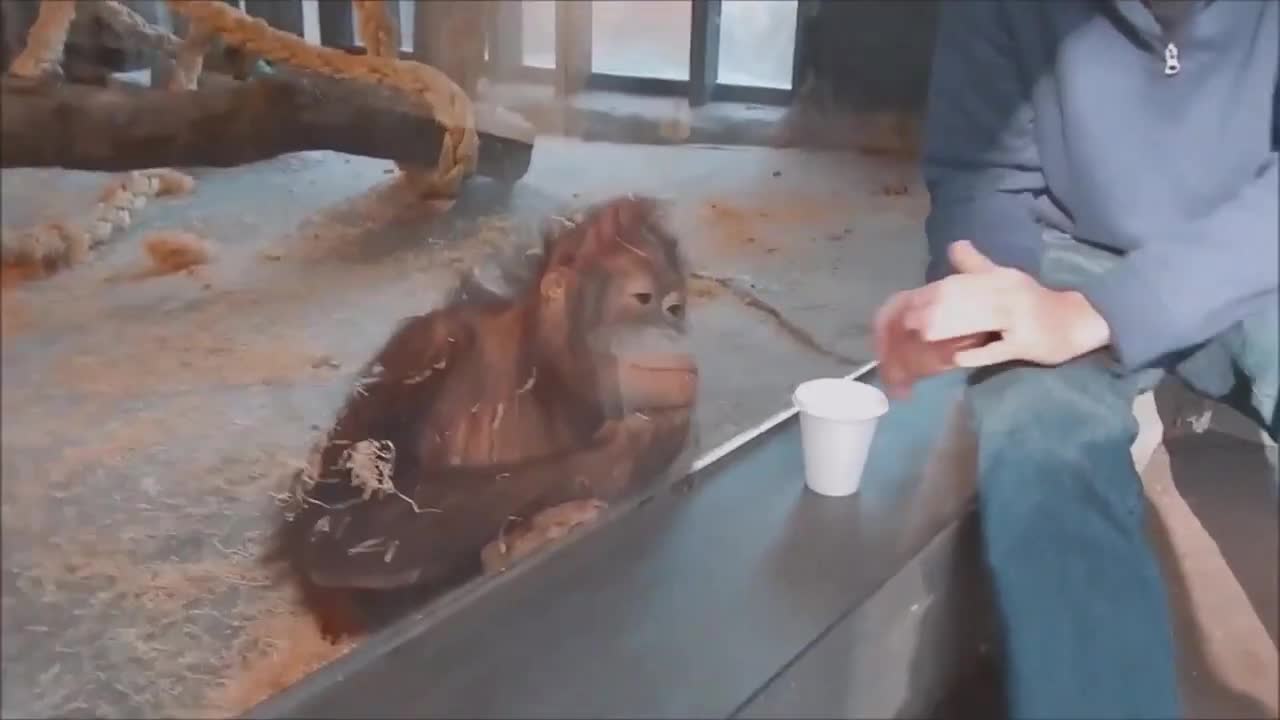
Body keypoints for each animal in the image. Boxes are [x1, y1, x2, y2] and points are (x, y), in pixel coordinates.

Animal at [267, 195, 700, 640]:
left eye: (675, 308)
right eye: (643, 299)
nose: (671, 332)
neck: (538, 368)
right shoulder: (423, 348)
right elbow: (334, 522)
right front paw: (634, 450)